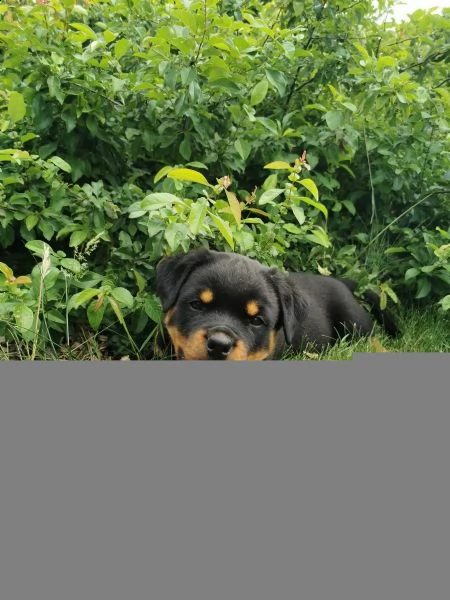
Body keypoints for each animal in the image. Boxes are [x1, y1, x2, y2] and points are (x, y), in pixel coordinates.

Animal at [156, 246, 398, 358]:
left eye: (256, 320)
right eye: (196, 305)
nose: (219, 345)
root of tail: (342, 281)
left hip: (354, 321)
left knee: (371, 338)